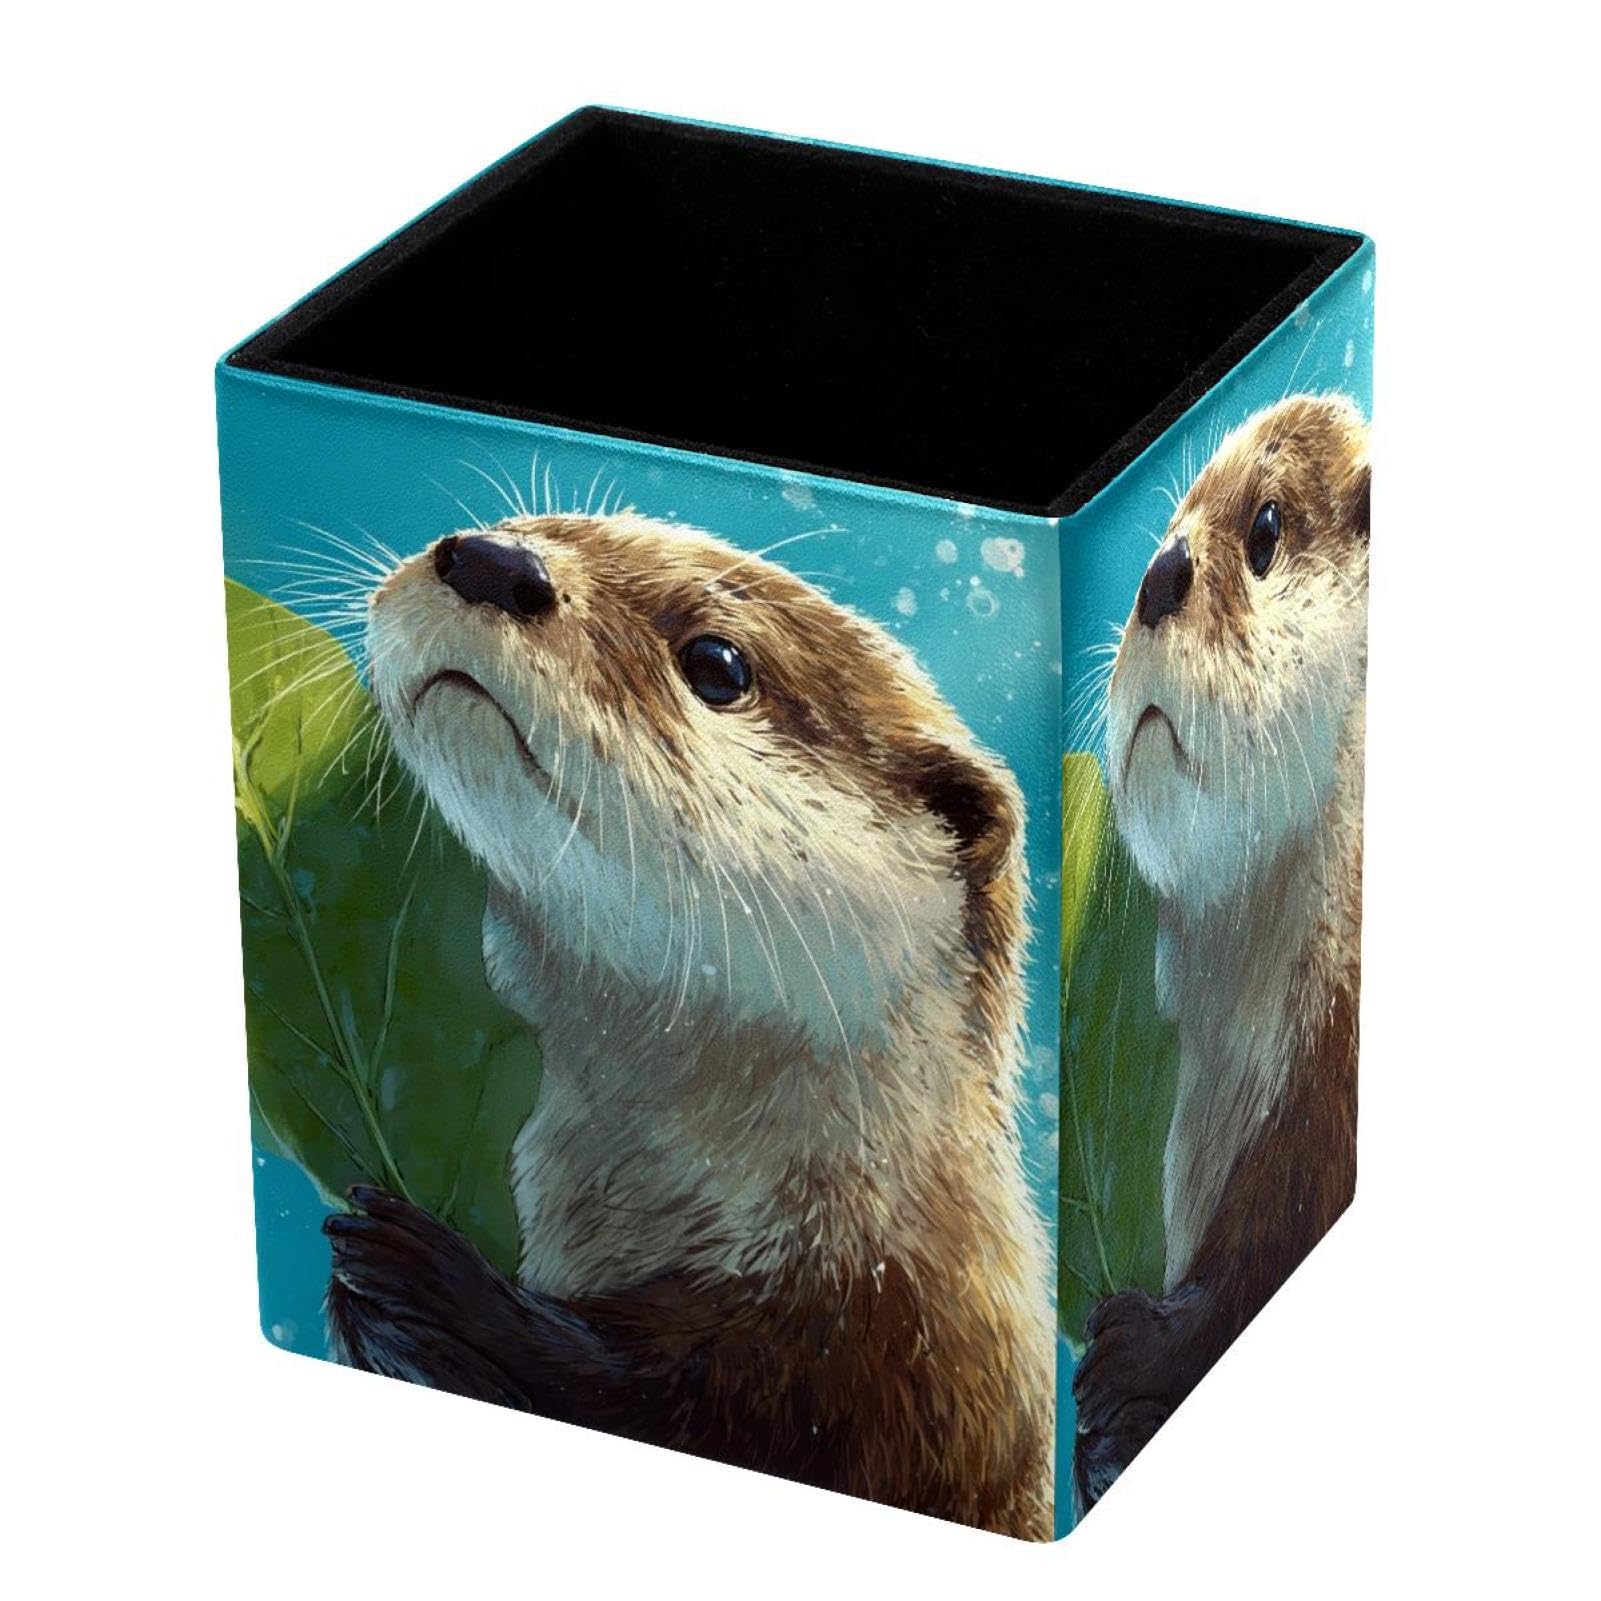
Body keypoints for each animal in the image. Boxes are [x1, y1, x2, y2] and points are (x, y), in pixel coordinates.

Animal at [322, 510, 1055, 1538]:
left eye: (716, 663)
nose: (495, 561)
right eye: (533, 524)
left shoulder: (897, 1372)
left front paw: (430, 1287)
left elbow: (674, 1408)